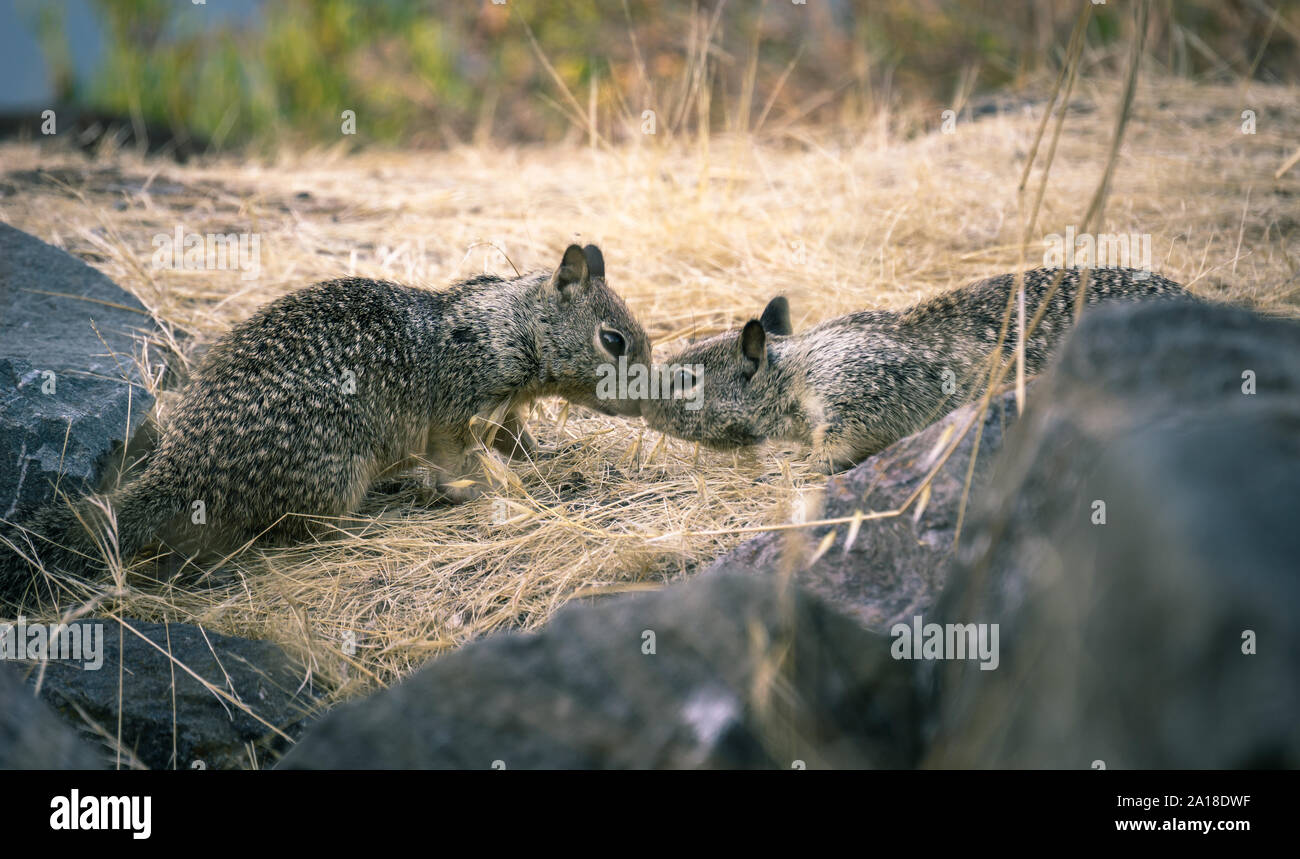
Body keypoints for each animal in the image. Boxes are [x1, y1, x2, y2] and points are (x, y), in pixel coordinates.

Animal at [0, 243, 650, 602]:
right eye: (613, 340)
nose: (647, 399)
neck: (511, 326)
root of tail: (183, 472)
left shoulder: (504, 411)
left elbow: (519, 441)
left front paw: (549, 461)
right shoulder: (457, 416)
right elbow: (465, 464)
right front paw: (508, 493)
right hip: (336, 472)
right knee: (306, 527)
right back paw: (373, 520)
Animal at [639, 266, 1190, 473]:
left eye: (687, 380)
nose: (640, 403)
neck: (797, 367)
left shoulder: (862, 386)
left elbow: (845, 438)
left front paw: (810, 466)